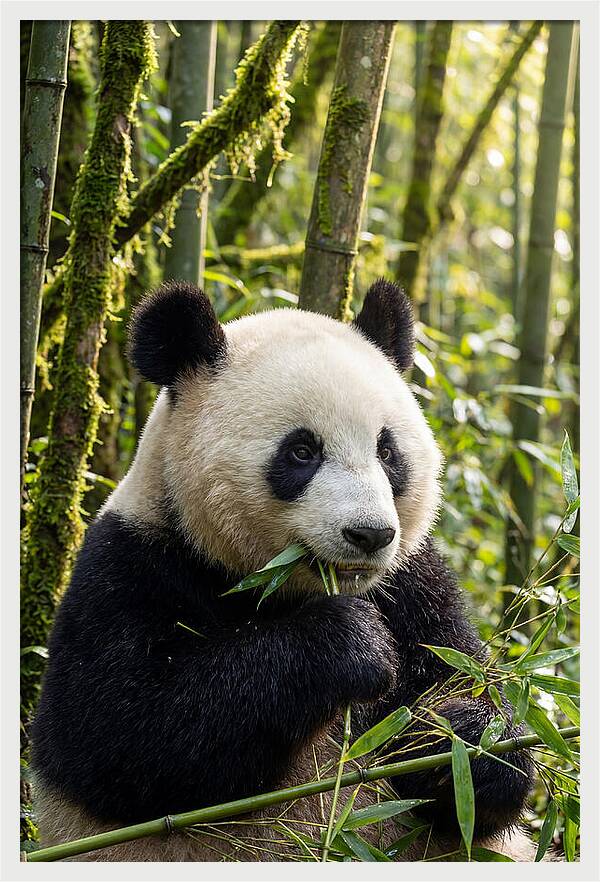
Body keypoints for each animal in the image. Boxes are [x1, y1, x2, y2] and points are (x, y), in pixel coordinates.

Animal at [31, 279, 535, 862]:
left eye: (387, 452)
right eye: (301, 451)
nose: (369, 535)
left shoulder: (414, 585)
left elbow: (470, 703)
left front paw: (461, 740)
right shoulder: (130, 567)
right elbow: (123, 733)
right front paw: (352, 644)